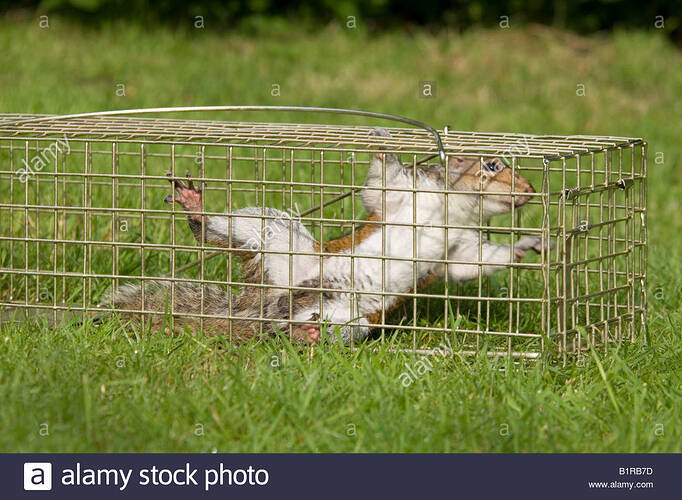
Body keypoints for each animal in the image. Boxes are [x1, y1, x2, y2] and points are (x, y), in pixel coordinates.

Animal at [107, 127, 543, 344]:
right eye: (492, 165)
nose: (530, 191)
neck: (453, 209)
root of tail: (266, 305)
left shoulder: (459, 247)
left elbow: (475, 265)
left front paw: (525, 245)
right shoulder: (400, 194)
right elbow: (381, 180)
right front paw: (384, 138)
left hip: (351, 318)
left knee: (295, 332)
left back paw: (307, 332)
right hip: (274, 236)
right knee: (221, 234)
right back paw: (196, 209)